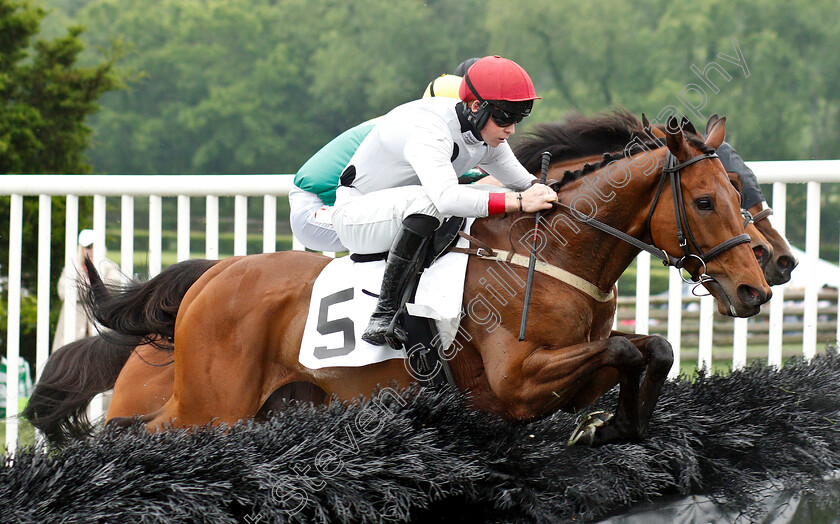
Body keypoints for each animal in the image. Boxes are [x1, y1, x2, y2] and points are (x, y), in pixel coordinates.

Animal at [72, 113, 768, 446]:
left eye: (738, 195)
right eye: (706, 201)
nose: (754, 288)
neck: (553, 253)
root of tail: (213, 278)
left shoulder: (566, 374)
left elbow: (652, 347)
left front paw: (618, 425)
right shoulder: (516, 382)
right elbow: (627, 348)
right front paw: (613, 425)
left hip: (267, 406)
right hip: (212, 405)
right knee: (139, 432)